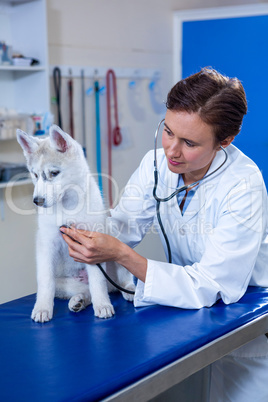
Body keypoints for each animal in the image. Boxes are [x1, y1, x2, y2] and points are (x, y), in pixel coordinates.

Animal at [16, 124, 134, 322]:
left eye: (54, 173)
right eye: (35, 175)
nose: (37, 201)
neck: (67, 208)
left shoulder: (92, 246)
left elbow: (97, 281)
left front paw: (103, 305)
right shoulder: (46, 244)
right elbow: (45, 281)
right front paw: (42, 308)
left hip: (116, 243)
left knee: (117, 281)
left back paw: (129, 290)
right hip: (65, 283)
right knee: (84, 290)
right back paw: (78, 301)